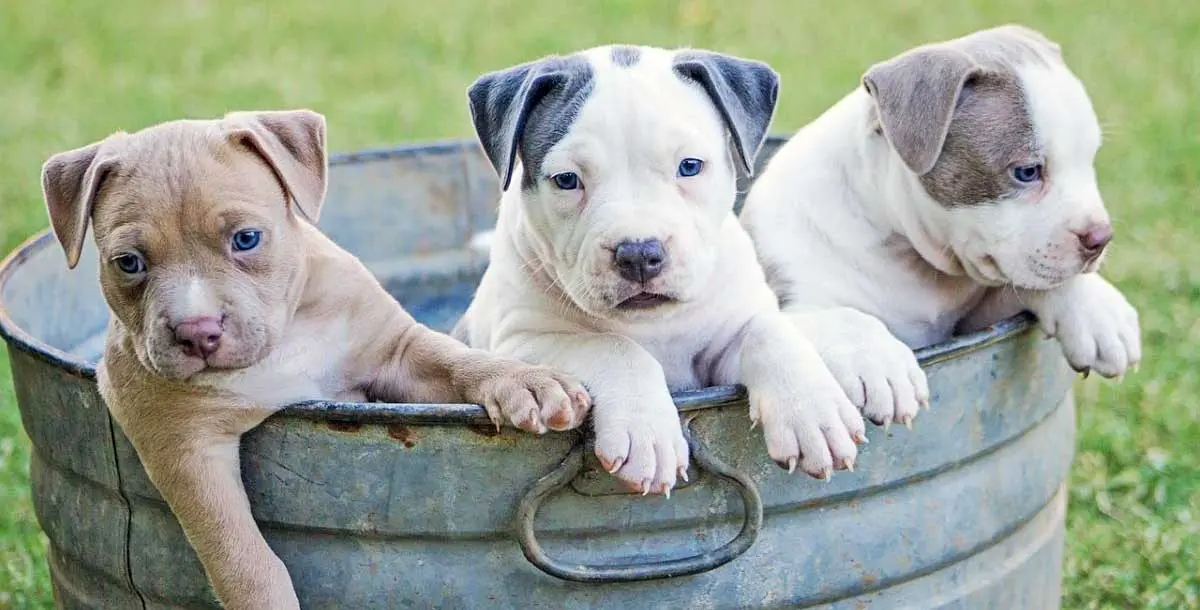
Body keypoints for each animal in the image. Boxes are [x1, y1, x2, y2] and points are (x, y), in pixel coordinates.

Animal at [41, 111, 590, 610]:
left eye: (246, 239)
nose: (197, 332)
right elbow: (243, 558)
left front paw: (526, 382)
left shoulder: (397, 352)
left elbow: (457, 361)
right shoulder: (185, 447)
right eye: (128, 263)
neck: (283, 340)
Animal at [453, 46, 868, 494]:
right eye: (566, 180)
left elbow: (768, 331)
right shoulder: (521, 342)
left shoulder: (723, 345)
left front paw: (812, 410)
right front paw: (647, 434)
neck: (653, 323)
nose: (638, 253)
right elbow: (614, 346)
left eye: (690, 166)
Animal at [739, 25, 1142, 429]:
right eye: (1027, 172)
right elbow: (843, 318)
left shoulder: (979, 318)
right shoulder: (794, 301)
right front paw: (880, 363)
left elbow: (1038, 283)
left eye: (1090, 159)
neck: (908, 255)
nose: (1101, 237)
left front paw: (1098, 310)